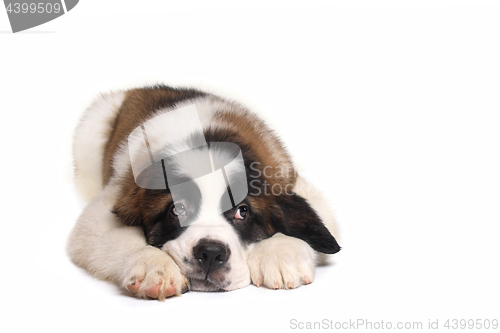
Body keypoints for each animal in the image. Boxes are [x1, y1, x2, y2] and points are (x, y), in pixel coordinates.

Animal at [67, 84, 340, 300]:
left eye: (242, 211)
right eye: (178, 208)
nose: (210, 253)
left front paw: (281, 252)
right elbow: (110, 234)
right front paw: (154, 266)